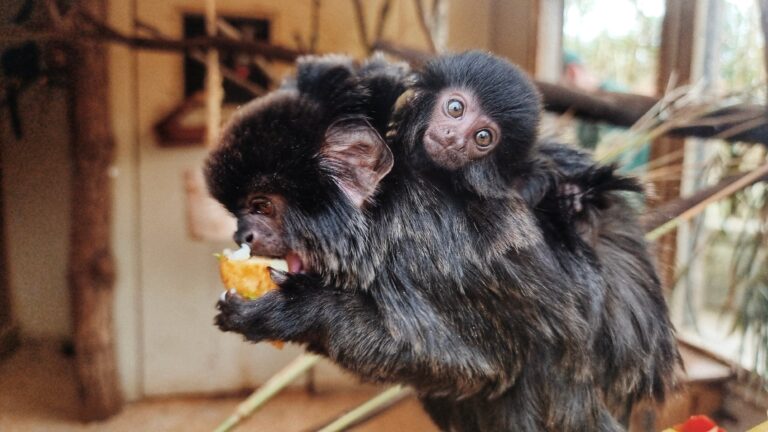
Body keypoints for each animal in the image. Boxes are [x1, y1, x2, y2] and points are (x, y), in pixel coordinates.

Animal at [207, 55, 627, 431]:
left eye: (261, 206)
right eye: (240, 212)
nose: (242, 234)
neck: (382, 213)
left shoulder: (424, 256)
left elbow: (478, 367)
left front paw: (294, 311)